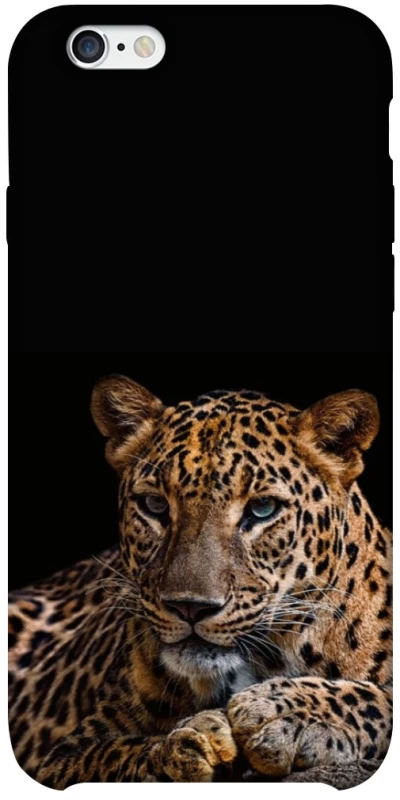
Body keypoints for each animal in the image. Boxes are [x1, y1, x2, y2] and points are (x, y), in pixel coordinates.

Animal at [8, 376, 392, 787]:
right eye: (155, 505)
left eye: (262, 509)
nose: (189, 606)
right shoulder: (64, 756)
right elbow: (119, 755)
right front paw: (188, 746)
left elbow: (378, 699)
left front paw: (282, 712)